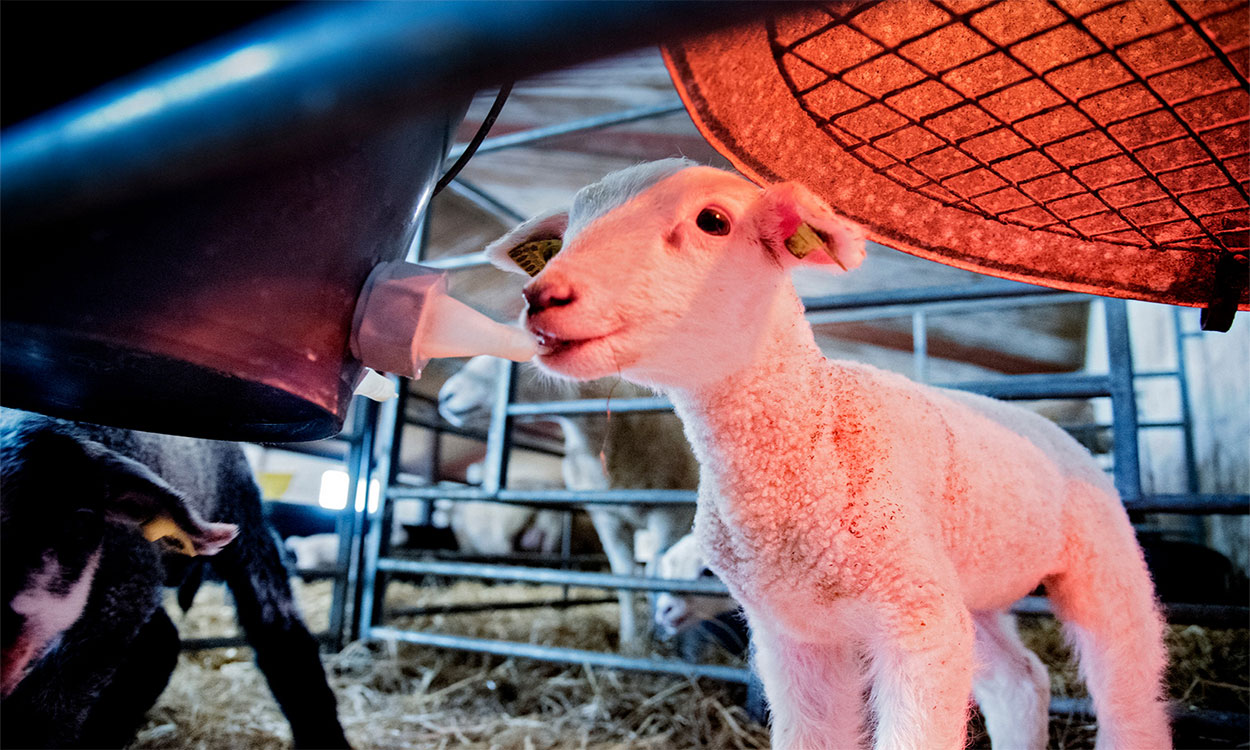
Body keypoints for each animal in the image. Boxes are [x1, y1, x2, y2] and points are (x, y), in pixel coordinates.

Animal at [440, 355, 700, 640]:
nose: (445, 396)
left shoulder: (671, 512)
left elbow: (657, 574)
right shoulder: (608, 518)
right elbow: (625, 575)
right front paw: (632, 639)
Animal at [480, 159, 1170, 750]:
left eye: (713, 221)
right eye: (565, 237)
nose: (543, 296)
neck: (814, 437)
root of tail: (1042, 423)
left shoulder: (915, 623)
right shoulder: (795, 631)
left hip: (1100, 560)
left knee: (1129, 686)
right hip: (962, 590)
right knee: (1020, 682)